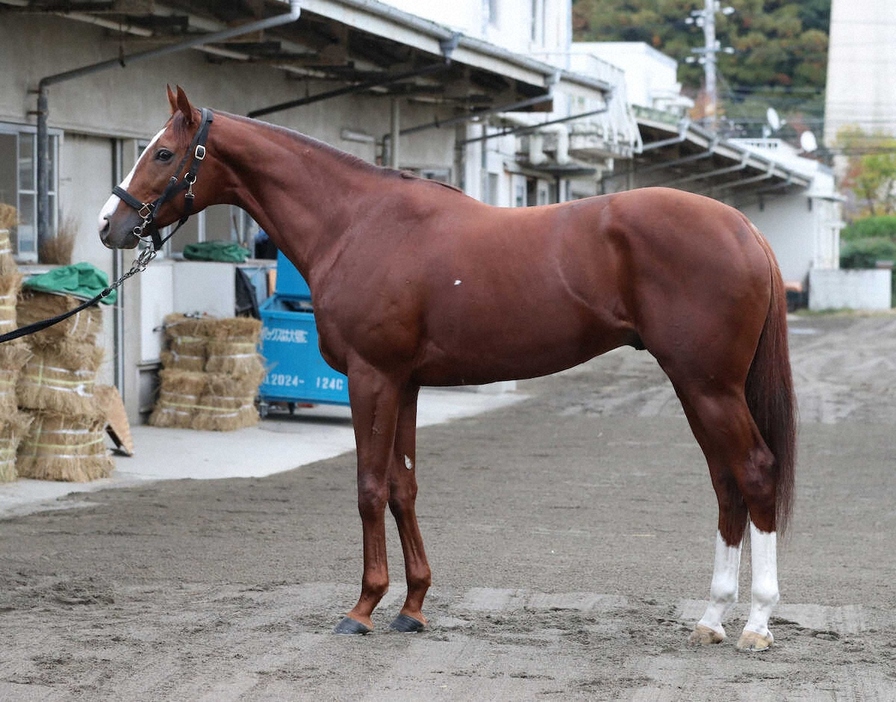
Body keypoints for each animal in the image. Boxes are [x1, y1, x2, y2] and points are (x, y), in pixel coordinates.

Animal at [100, 89, 800, 656]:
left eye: (163, 153)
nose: (112, 225)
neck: (357, 222)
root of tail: (744, 227)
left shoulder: (372, 378)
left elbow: (369, 488)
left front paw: (363, 608)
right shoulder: (405, 384)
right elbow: (403, 488)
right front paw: (412, 607)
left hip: (707, 386)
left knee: (755, 473)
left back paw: (756, 624)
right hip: (700, 388)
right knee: (726, 485)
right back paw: (711, 618)